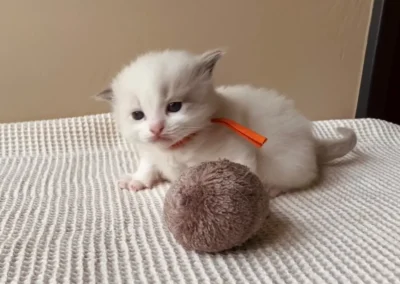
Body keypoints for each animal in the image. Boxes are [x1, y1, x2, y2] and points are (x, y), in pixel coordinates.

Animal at [96, 48, 356, 197]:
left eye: (174, 107)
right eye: (138, 115)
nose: (156, 128)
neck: (176, 149)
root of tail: (312, 141)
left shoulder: (235, 151)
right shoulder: (151, 151)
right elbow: (148, 164)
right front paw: (137, 180)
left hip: (288, 162)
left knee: (301, 177)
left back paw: (272, 188)